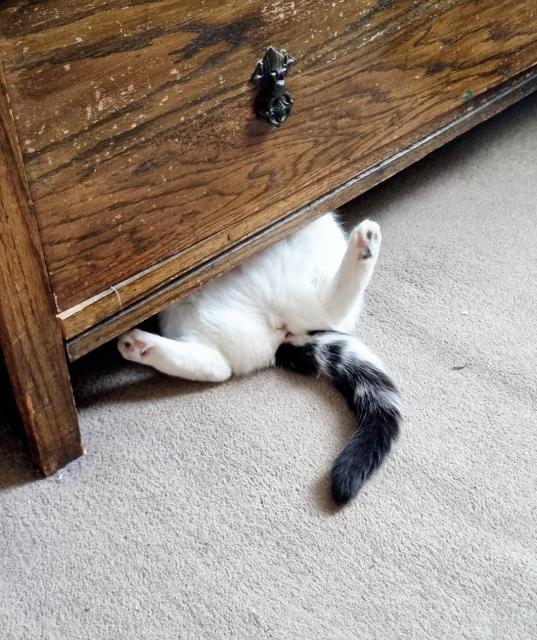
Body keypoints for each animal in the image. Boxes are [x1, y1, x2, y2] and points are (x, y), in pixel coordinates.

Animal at [118, 215, 402, 504]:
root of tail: (281, 332)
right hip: (211, 328)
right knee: (218, 366)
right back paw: (140, 347)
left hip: (306, 291)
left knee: (329, 306)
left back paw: (365, 244)